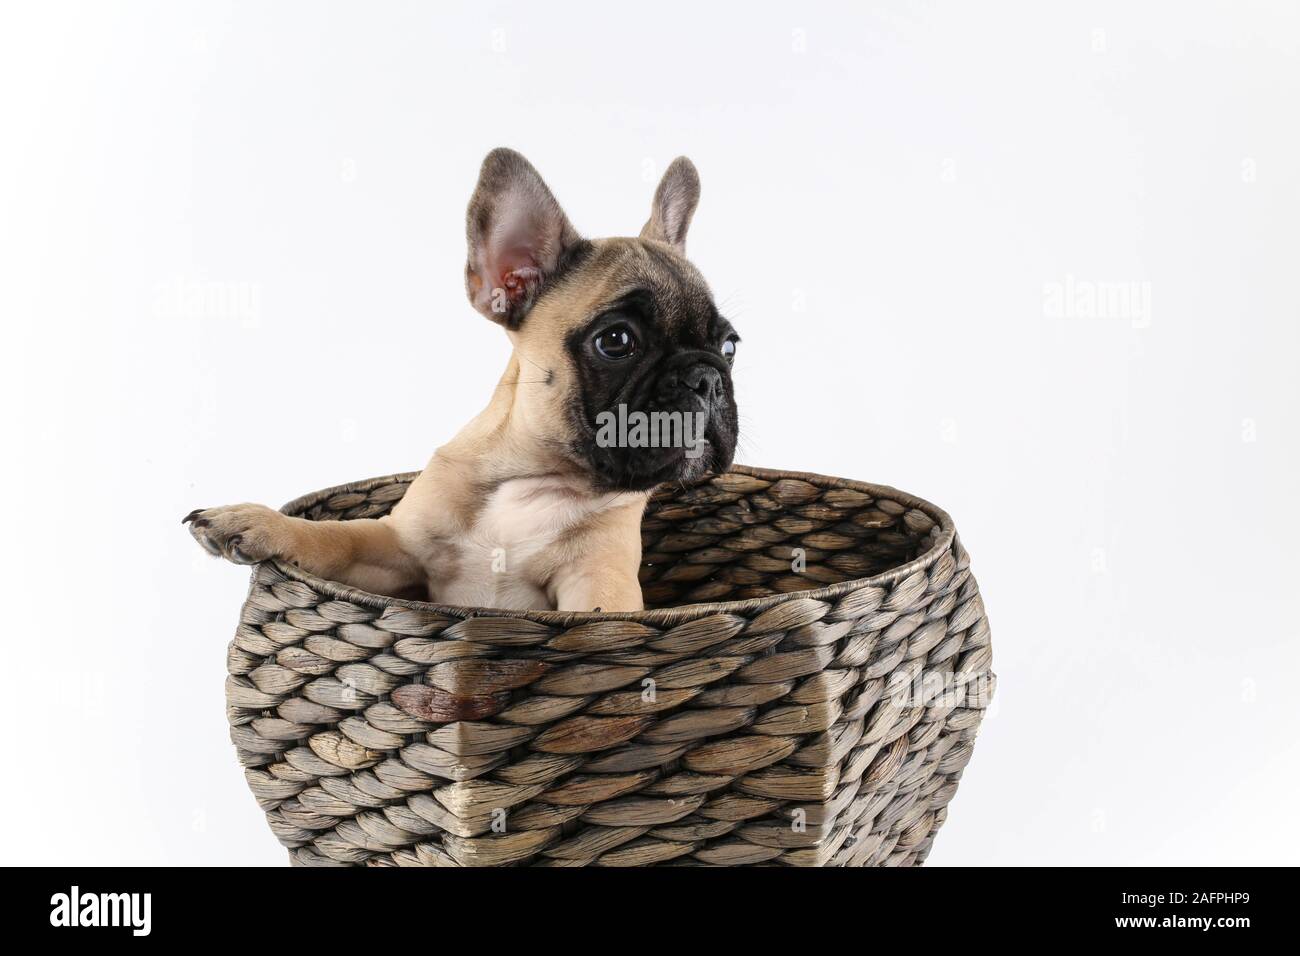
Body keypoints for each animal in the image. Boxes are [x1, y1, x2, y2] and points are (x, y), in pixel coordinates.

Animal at [188, 149, 748, 613]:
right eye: (616, 340)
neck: (537, 476)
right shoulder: (397, 547)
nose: (707, 377)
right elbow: (335, 538)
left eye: (729, 347)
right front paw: (258, 521)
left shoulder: (600, 575)